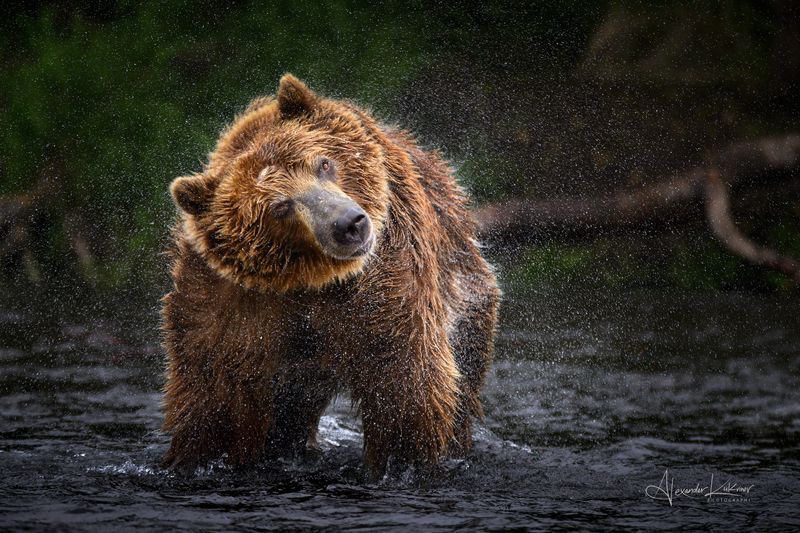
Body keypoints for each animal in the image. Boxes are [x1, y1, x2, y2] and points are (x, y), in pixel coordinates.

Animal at [161, 74, 500, 478]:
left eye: (323, 163)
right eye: (280, 206)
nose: (350, 224)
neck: (308, 282)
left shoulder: (384, 282)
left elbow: (403, 381)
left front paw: (401, 462)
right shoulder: (231, 299)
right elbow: (216, 392)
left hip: (466, 290)